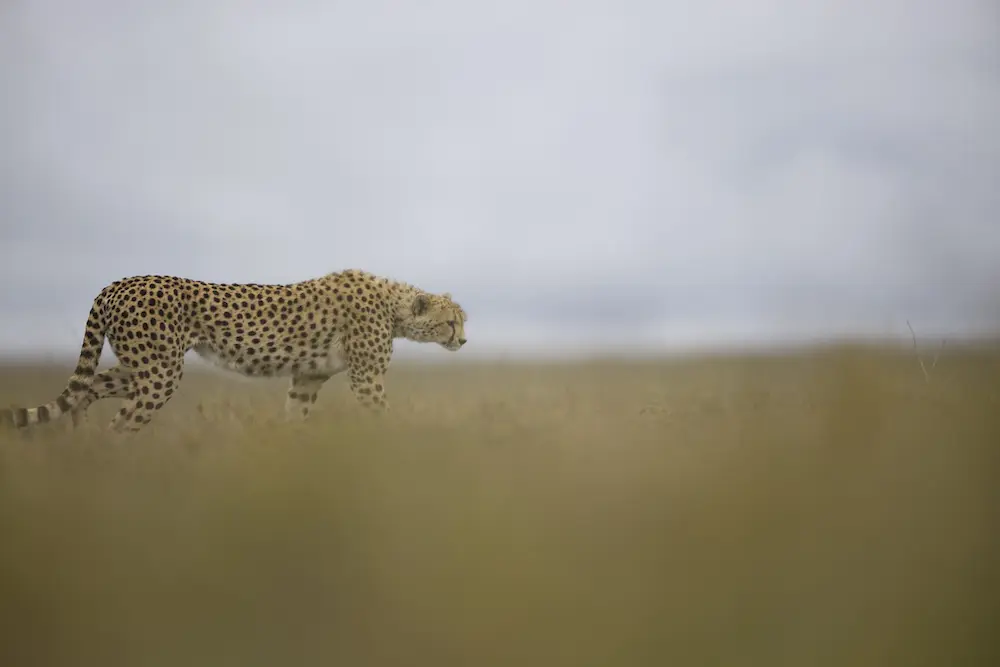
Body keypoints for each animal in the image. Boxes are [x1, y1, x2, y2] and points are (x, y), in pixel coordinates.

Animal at [1, 269, 467, 433]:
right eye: (451, 322)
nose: (463, 341)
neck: (394, 306)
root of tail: (117, 283)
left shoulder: (307, 377)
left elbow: (294, 415)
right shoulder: (367, 378)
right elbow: (384, 415)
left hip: (141, 366)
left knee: (89, 386)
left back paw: (79, 439)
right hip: (160, 371)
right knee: (120, 421)